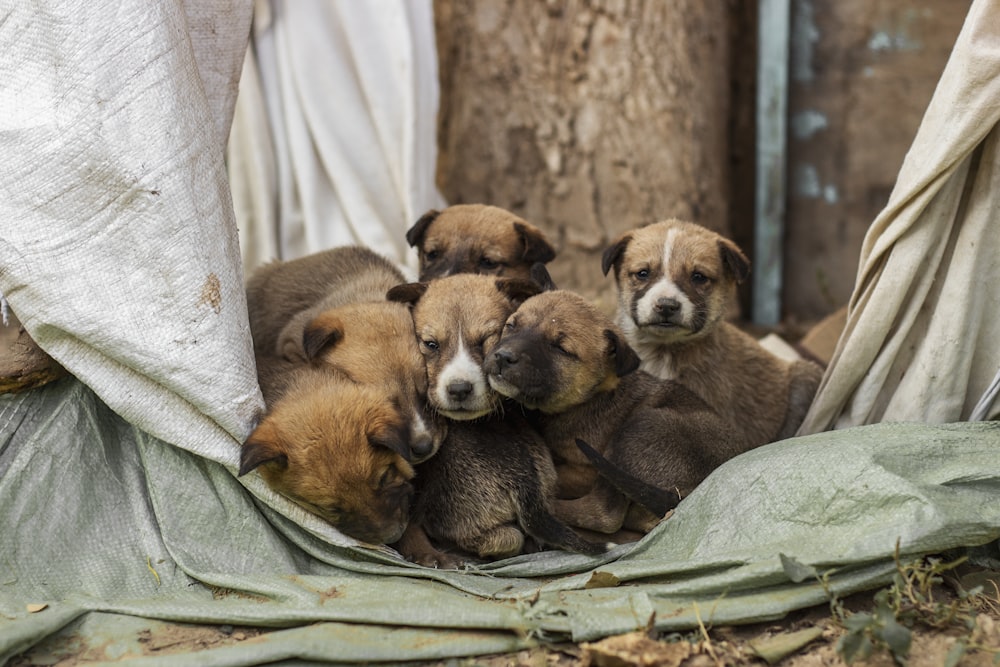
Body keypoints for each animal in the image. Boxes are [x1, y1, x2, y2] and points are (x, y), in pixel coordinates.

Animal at [480, 290, 748, 536]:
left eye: (560, 348)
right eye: (511, 326)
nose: (503, 357)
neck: (588, 399)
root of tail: (684, 497)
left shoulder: (587, 470)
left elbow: (558, 475)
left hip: (643, 427)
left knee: (603, 514)